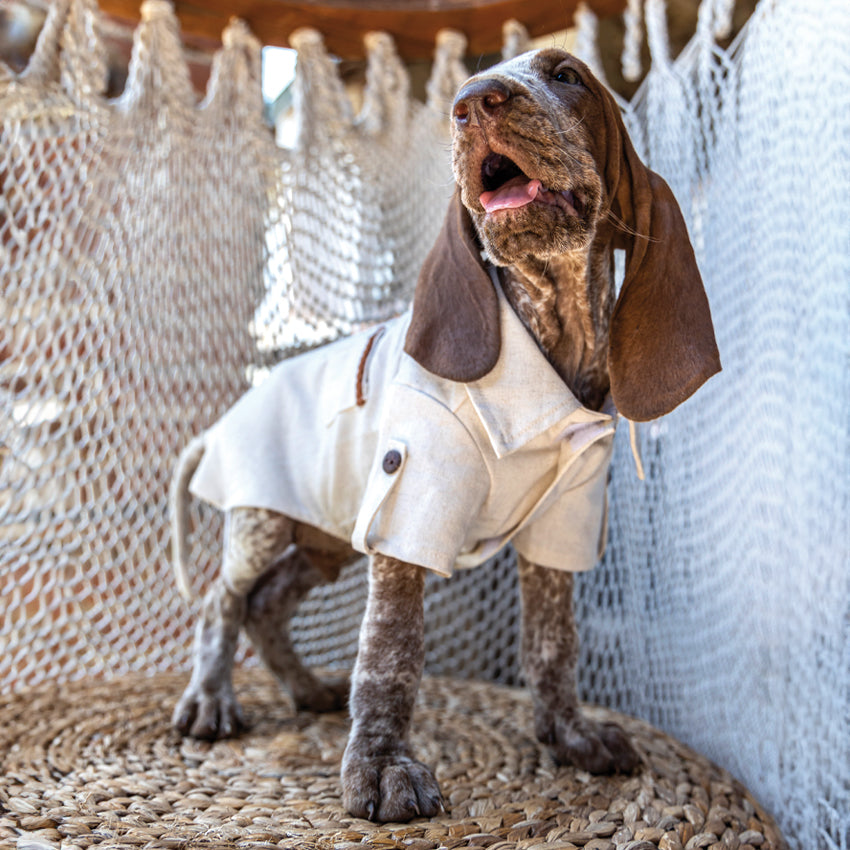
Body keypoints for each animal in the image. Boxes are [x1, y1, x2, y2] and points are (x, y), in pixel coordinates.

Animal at [169, 48, 720, 820]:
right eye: (472, 88)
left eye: (566, 75)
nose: (473, 101)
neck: (550, 336)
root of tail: (240, 405)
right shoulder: (408, 505)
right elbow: (390, 655)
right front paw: (381, 768)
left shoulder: (565, 517)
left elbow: (553, 643)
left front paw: (569, 735)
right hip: (262, 519)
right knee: (225, 599)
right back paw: (209, 700)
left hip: (325, 539)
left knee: (267, 604)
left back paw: (306, 689)